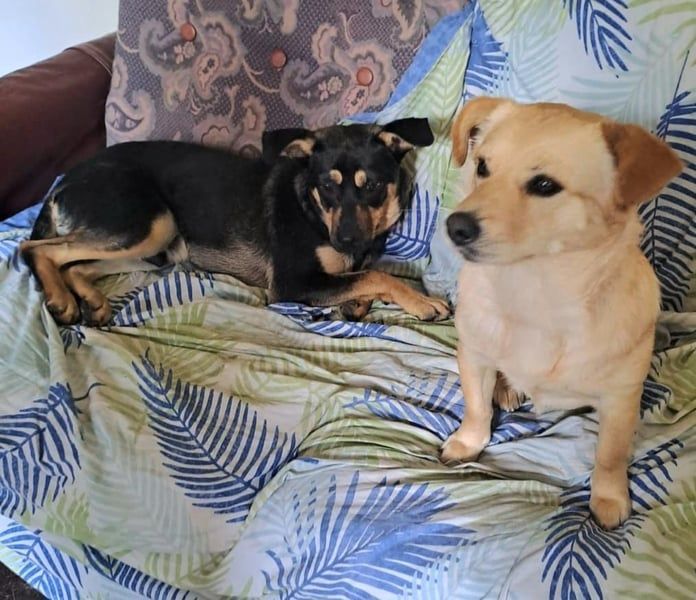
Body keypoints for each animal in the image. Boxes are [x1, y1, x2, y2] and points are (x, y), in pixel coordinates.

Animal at [20, 119, 450, 326]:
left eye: (372, 186)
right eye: (327, 187)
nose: (345, 240)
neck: (310, 208)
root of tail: (66, 178)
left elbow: (365, 274)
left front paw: (358, 301)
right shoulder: (292, 283)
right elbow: (378, 275)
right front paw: (423, 301)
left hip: (155, 248)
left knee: (75, 265)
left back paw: (91, 301)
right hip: (149, 223)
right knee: (35, 248)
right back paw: (61, 300)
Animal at [440, 97, 682, 529]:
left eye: (544, 185)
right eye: (482, 166)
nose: (456, 226)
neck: (533, 293)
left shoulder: (621, 399)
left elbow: (610, 455)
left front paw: (609, 498)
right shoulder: (474, 356)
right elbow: (476, 408)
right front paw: (468, 442)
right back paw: (508, 388)